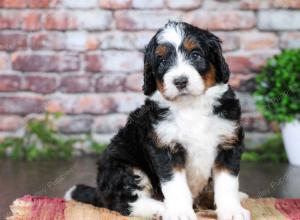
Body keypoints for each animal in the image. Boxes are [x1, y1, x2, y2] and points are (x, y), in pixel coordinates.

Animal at [65, 21, 251, 220]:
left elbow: (227, 183)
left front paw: (232, 210)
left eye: (195, 54)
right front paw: (180, 212)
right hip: (124, 165)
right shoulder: (164, 147)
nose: (180, 81)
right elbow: (175, 185)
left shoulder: (228, 141)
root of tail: (100, 192)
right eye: (162, 61)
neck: (190, 107)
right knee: (124, 203)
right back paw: (161, 208)